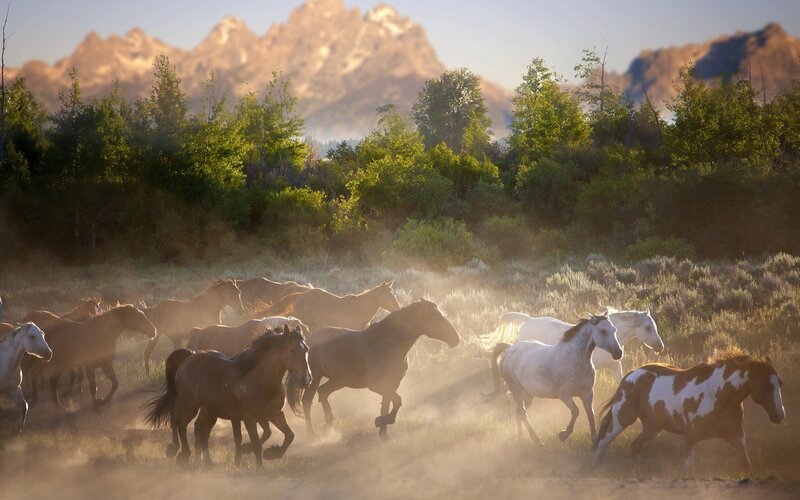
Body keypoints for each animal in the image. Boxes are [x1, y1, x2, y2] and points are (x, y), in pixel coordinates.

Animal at [27, 305, 157, 410]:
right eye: (138, 317)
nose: (154, 331)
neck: (100, 335)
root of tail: (42, 328)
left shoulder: (105, 364)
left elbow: (115, 384)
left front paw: (102, 401)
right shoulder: (89, 367)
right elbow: (93, 388)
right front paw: (97, 406)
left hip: (59, 364)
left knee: (51, 381)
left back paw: (55, 405)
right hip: (47, 362)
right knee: (37, 376)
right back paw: (46, 403)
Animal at [144, 325, 312, 469]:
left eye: (307, 349)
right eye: (291, 350)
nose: (306, 379)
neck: (260, 380)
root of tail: (189, 357)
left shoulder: (274, 414)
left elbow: (289, 435)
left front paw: (271, 453)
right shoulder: (249, 417)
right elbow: (256, 443)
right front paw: (259, 466)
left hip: (209, 410)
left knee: (200, 430)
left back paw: (206, 462)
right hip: (189, 404)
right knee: (179, 423)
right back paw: (181, 453)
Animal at [295, 300, 460, 439]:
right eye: (435, 318)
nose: (456, 339)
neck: (388, 343)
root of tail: (310, 339)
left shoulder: (392, 384)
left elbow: (387, 405)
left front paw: (383, 433)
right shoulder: (377, 386)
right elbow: (397, 401)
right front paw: (380, 421)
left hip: (339, 380)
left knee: (323, 392)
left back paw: (328, 426)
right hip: (314, 378)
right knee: (307, 401)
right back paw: (312, 434)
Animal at [484, 315, 622, 445]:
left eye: (614, 330)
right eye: (603, 331)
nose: (618, 353)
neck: (574, 359)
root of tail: (509, 349)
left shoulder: (587, 393)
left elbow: (590, 414)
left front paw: (594, 441)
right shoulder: (564, 395)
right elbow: (576, 411)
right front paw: (563, 434)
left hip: (528, 394)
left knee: (519, 413)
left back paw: (521, 439)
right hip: (516, 389)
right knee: (523, 413)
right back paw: (537, 441)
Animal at [593, 348, 785, 473]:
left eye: (779, 383)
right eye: (766, 385)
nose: (780, 415)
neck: (719, 394)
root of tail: (630, 375)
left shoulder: (736, 436)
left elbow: (746, 466)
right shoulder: (692, 436)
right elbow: (686, 470)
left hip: (652, 427)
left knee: (635, 447)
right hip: (621, 419)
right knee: (602, 444)